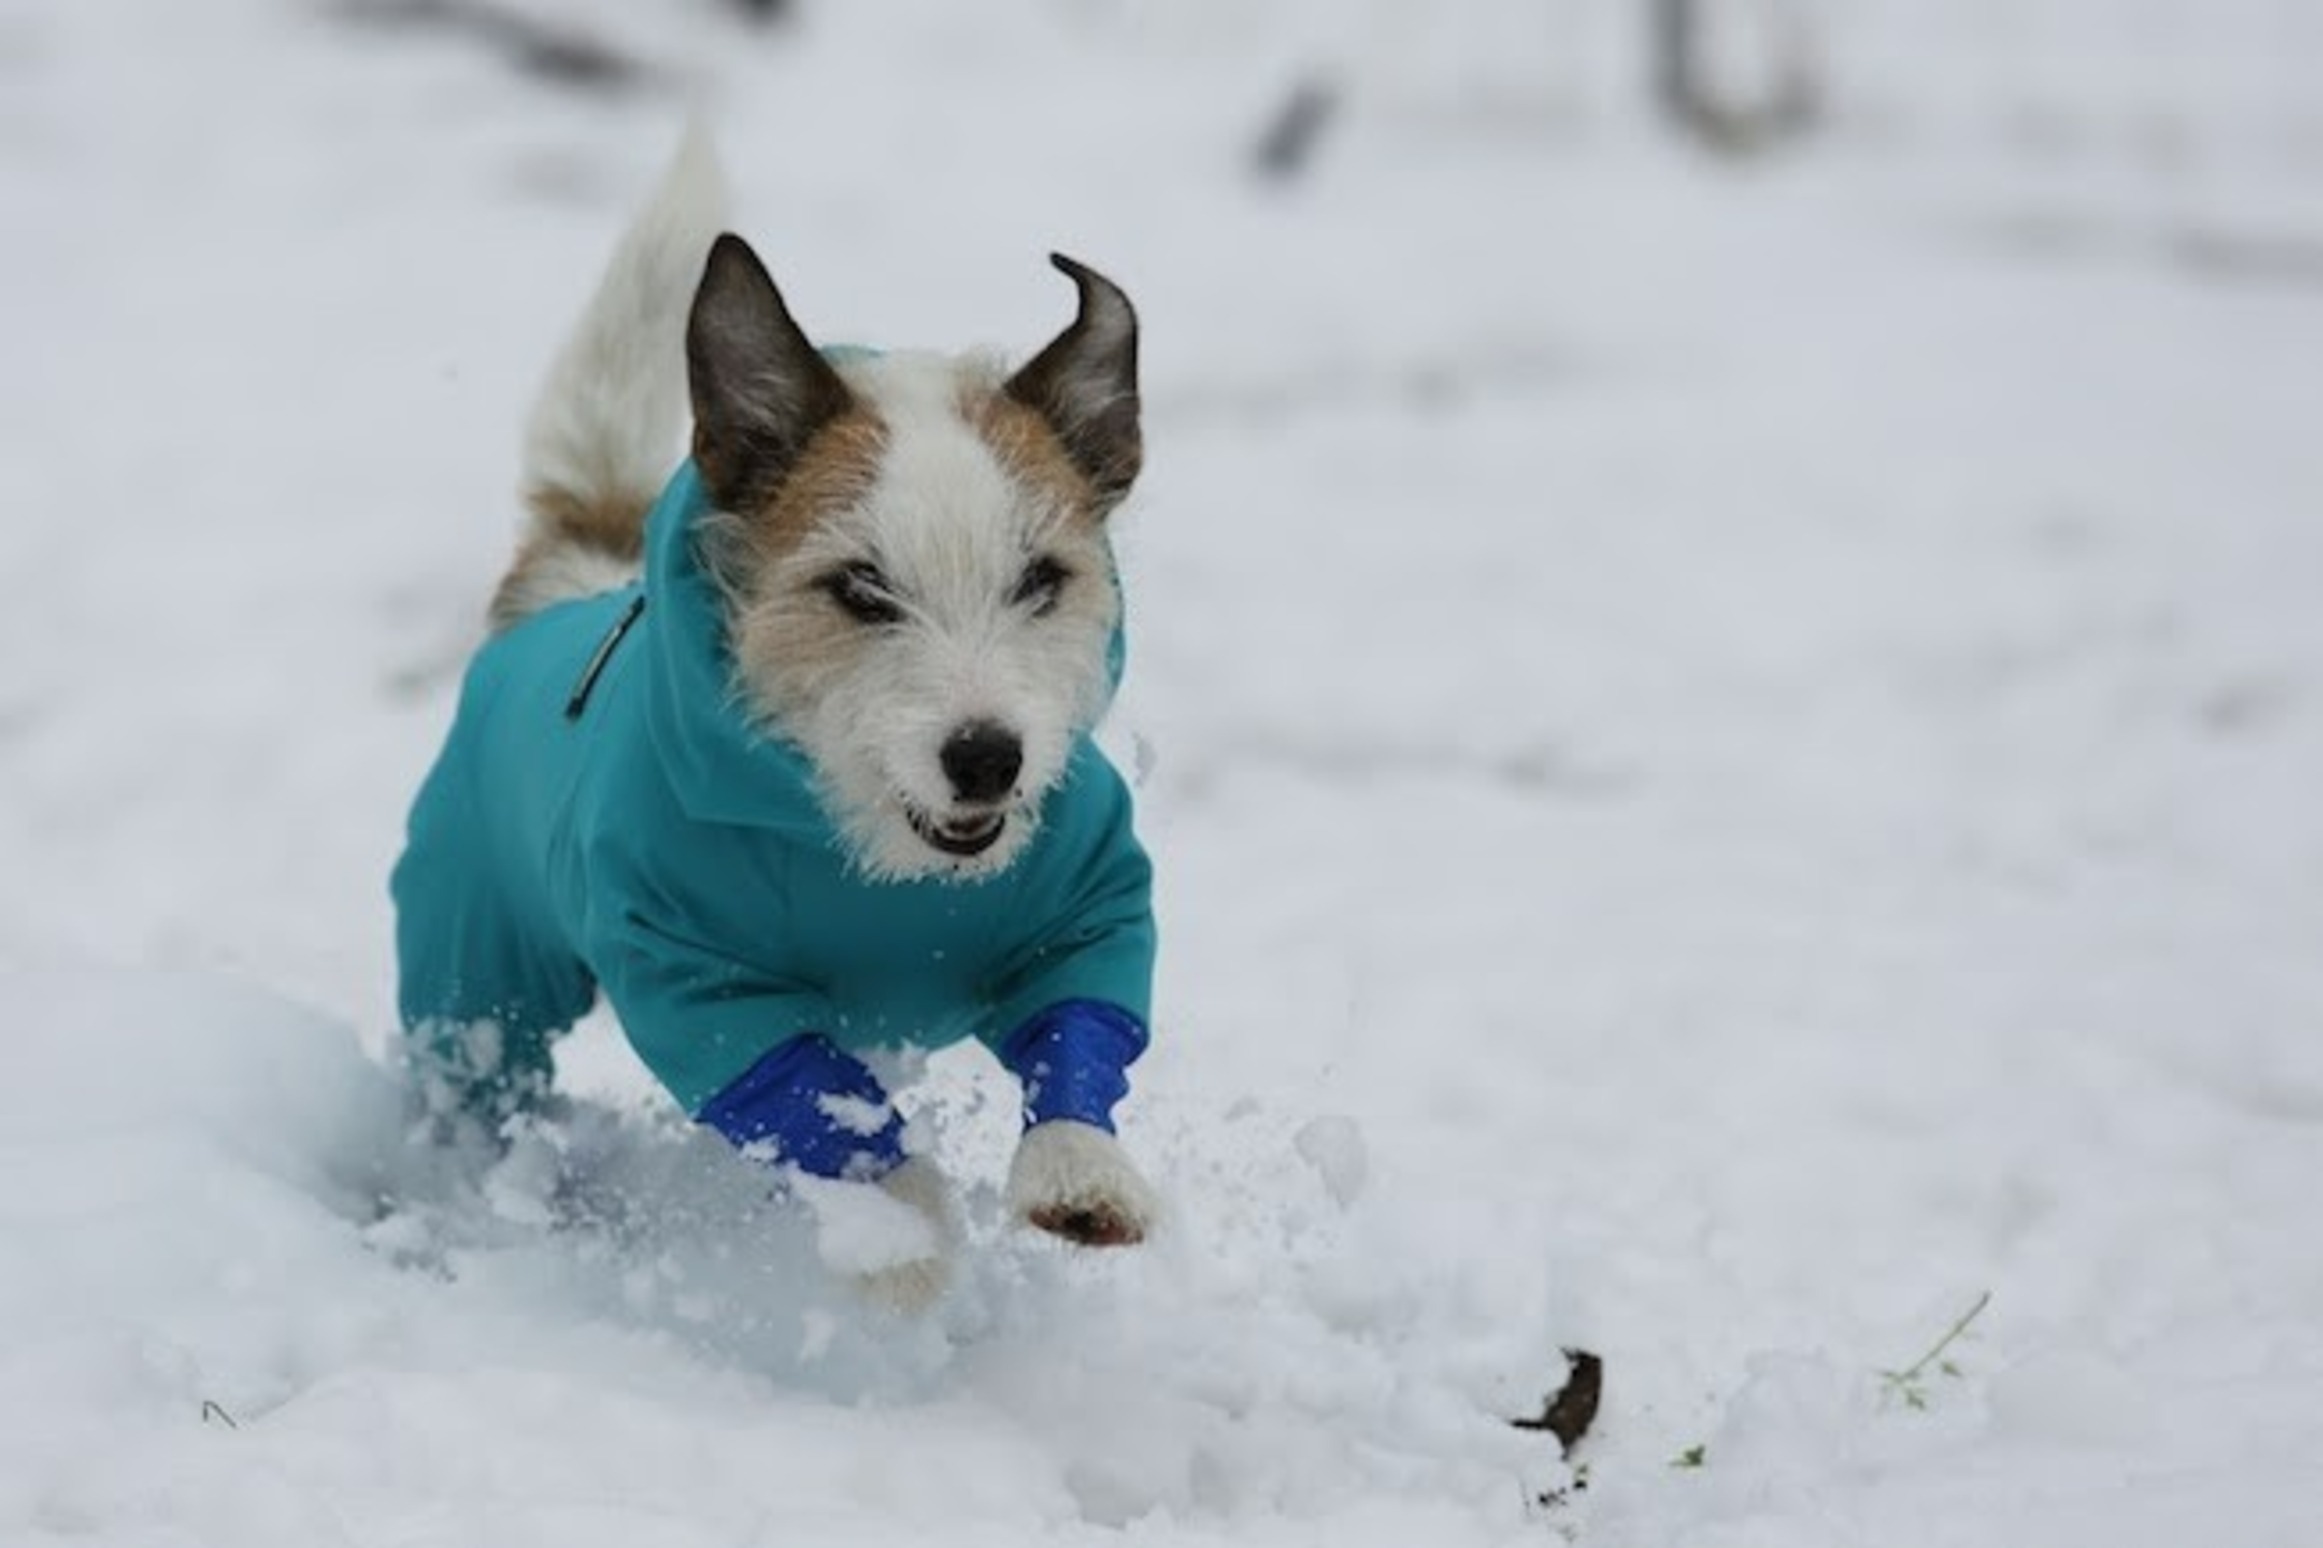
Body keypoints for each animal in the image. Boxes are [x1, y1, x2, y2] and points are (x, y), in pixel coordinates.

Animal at [397, 129, 1170, 1301]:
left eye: (1042, 579)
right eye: (859, 588)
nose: (987, 760)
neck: (875, 870)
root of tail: (568, 589)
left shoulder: (1087, 900)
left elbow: (1079, 1014)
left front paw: (1080, 1170)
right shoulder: (696, 981)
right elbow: (815, 1104)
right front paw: (902, 1236)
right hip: (473, 962)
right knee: (471, 1070)